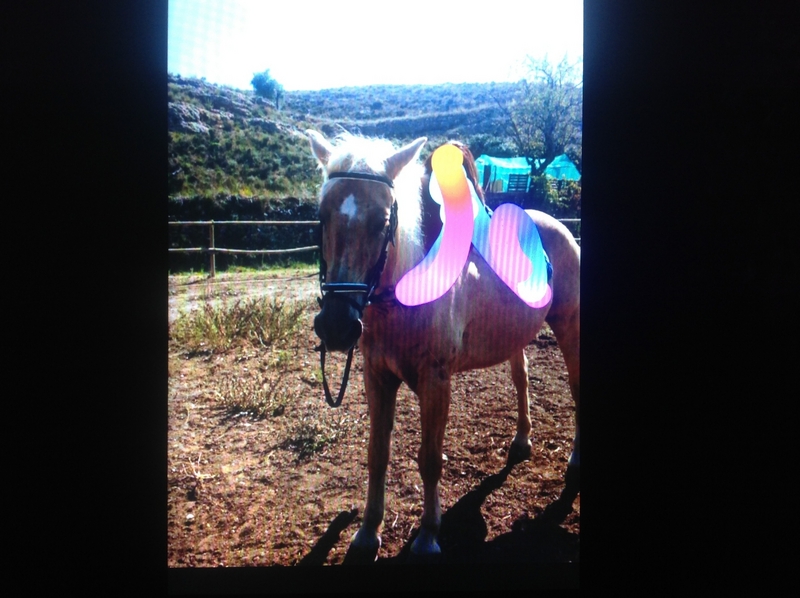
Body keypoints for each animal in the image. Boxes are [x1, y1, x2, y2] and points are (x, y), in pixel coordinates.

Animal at [307, 131, 581, 559]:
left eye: (383, 221)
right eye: (321, 217)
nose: (336, 325)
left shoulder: (436, 382)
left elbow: (430, 459)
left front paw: (428, 536)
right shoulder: (376, 376)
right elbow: (377, 454)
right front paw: (367, 532)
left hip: (570, 326)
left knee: (576, 386)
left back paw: (574, 462)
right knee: (521, 378)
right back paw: (521, 442)